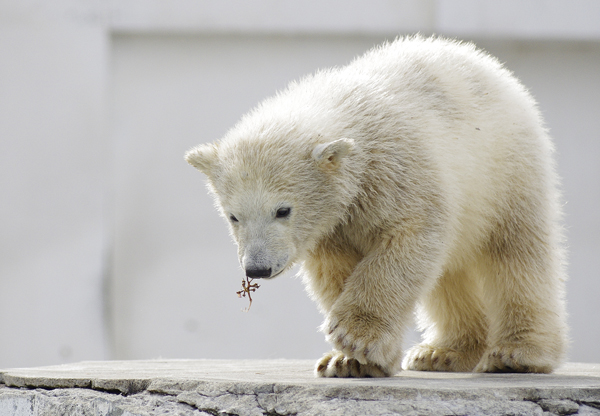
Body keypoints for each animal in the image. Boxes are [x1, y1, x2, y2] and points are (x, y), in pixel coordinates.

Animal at [186, 37, 568, 378]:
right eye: (233, 216)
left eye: (282, 210)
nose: (257, 268)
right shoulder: (331, 225)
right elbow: (335, 271)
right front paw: (349, 362)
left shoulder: (397, 172)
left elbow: (408, 240)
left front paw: (354, 337)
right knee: (450, 275)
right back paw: (443, 352)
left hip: (506, 171)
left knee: (516, 255)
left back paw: (517, 354)